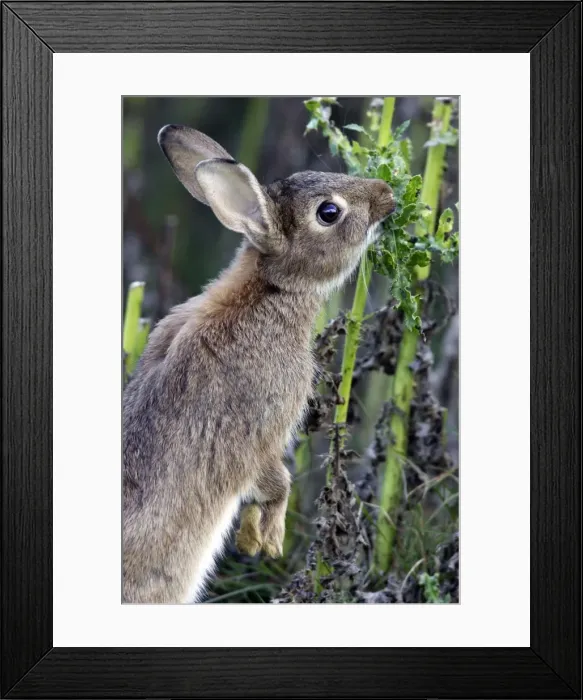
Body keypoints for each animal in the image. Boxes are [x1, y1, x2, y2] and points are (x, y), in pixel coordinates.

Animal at [123, 124, 395, 604]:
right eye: (329, 212)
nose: (387, 194)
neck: (269, 290)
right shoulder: (261, 434)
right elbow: (276, 483)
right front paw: (266, 541)